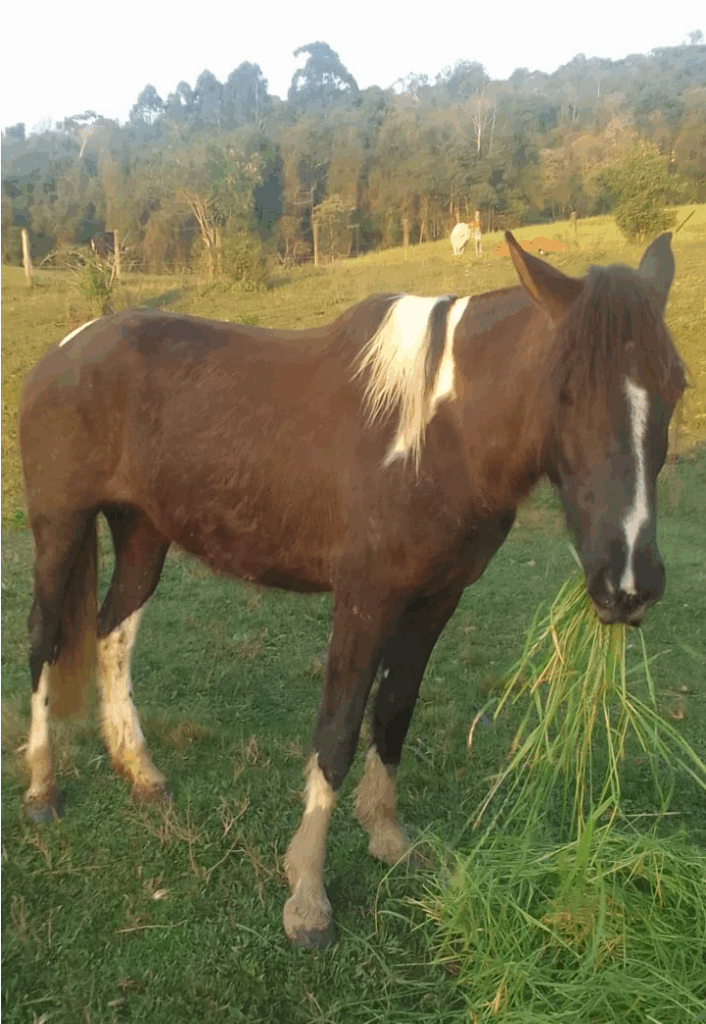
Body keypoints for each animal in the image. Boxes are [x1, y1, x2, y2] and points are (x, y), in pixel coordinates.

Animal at [19, 232, 685, 948]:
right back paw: (42, 790)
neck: (434, 435)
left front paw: (388, 838)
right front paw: (307, 897)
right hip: (60, 529)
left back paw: (140, 773)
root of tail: (64, 350)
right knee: (44, 642)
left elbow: (393, 711)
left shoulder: (434, 601)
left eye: (676, 384)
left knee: (112, 635)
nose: (629, 582)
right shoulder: (365, 600)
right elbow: (336, 730)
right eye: (565, 390)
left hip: (144, 534)